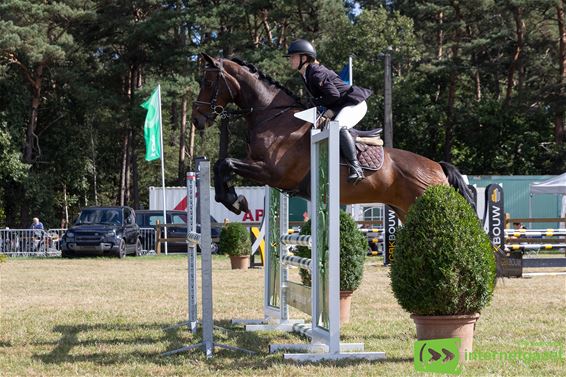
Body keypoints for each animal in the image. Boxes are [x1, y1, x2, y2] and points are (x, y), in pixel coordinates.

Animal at [191, 53, 474, 220]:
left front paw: (234, 201)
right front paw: (233, 199)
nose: (197, 119)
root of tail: (438, 167)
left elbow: (225, 163)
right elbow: (222, 165)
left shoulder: (273, 172)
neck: (272, 117)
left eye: (208, 82)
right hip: (405, 211)